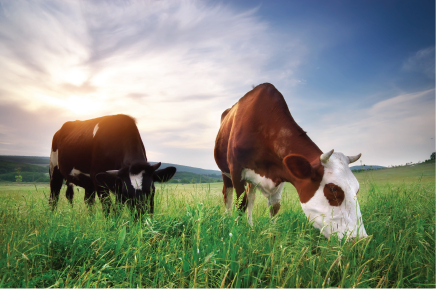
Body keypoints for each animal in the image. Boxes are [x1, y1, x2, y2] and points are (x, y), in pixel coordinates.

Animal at [215, 82, 368, 238]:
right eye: (333, 189)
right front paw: (237, 233)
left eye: (357, 189)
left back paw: (250, 226)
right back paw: (228, 221)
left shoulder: (280, 172)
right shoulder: (236, 170)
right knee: (228, 196)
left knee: (251, 197)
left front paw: (271, 234)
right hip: (225, 173)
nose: (361, 240)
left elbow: (274, 207)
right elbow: (241, 204)